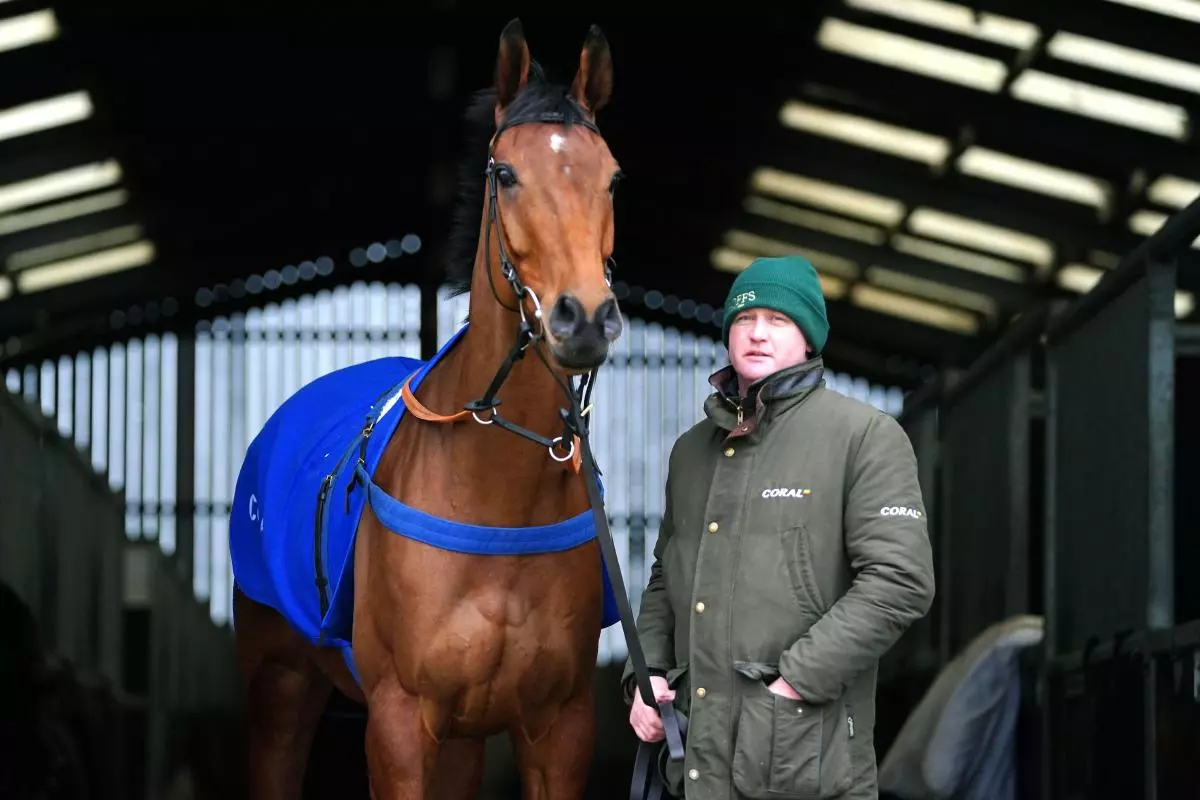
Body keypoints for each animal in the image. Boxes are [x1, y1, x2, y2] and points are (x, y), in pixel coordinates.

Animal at [227, 18, 656, 800]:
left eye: (611, 176)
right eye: (506, 174)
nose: (584, 319)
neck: (495, 495)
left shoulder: (558, 725)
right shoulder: (398, 722)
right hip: (280, 686)